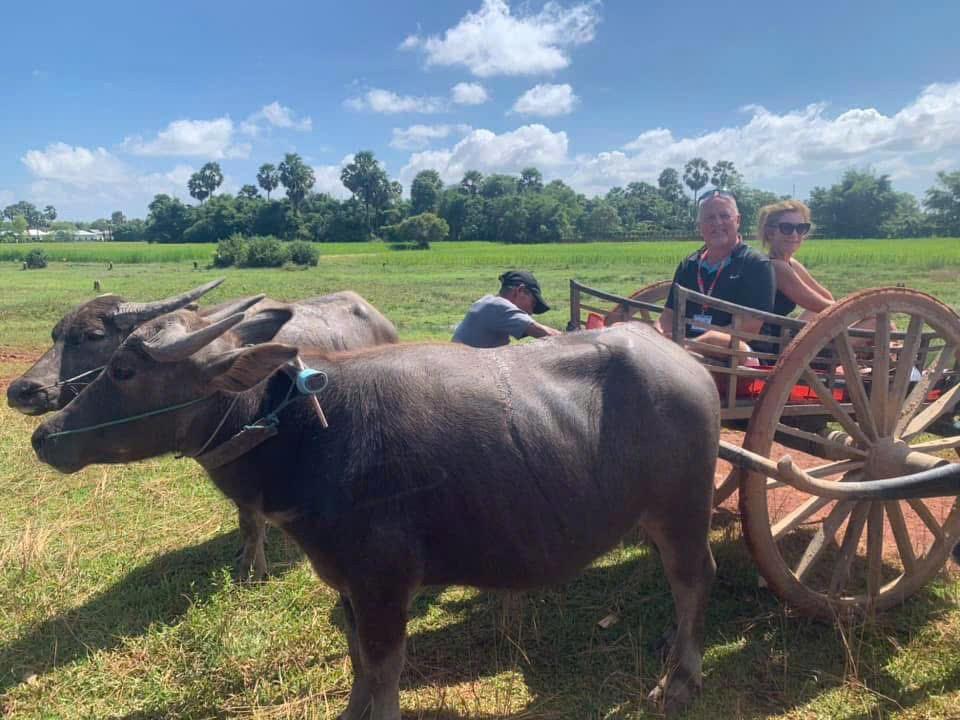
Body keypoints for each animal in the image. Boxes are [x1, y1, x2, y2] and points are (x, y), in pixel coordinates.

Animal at [32, 309, 718, 717]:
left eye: (122, 368)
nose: (46, 435)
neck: (307, 434)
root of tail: (689, 363)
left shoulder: (385, 582)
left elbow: (386, 666)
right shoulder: (346, 581)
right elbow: (357, 654)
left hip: (683, 510)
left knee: (692, 582)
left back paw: (680, 680)